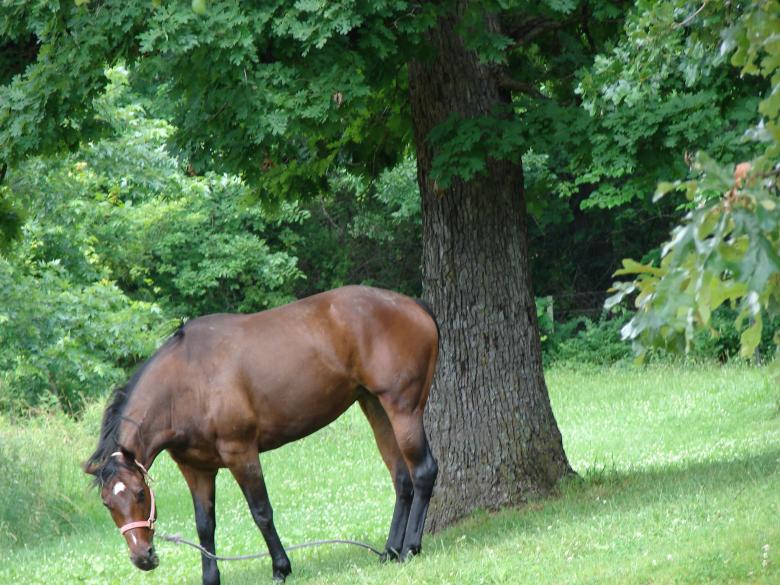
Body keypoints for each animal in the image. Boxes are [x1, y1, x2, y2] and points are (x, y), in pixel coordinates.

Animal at [83, 285, 440, 584]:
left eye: (140, 494)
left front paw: (281, 567)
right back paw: (390, 550)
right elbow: (204, 526)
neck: (186, 382)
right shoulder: (196, 469)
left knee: (423, 472)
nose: (142, 557)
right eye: (107, 503)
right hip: (375, 407)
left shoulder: (241, 453)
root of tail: (412, 304)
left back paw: (410, 547)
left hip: (403, 409)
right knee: (401, 479)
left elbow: (262, 513)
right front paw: (211, 578)